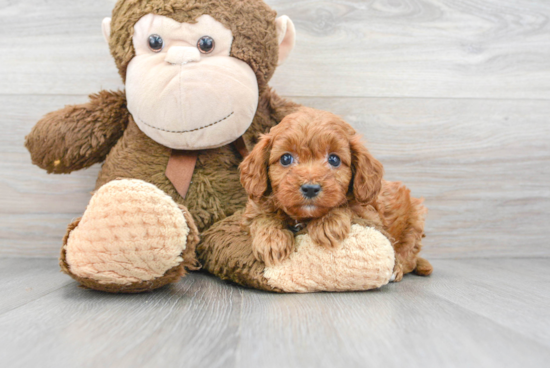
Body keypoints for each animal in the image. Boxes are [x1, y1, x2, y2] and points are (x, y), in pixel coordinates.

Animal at [239, 107, 434, 282]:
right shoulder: (253, 210)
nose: (310, 188)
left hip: (414, 222)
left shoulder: (370, 215)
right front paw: (272, 240)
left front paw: (328, 223)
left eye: (334, 159)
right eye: (286, 158)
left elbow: (346, 206)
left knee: (408, 256)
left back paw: (399, 268)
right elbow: (262, 218)